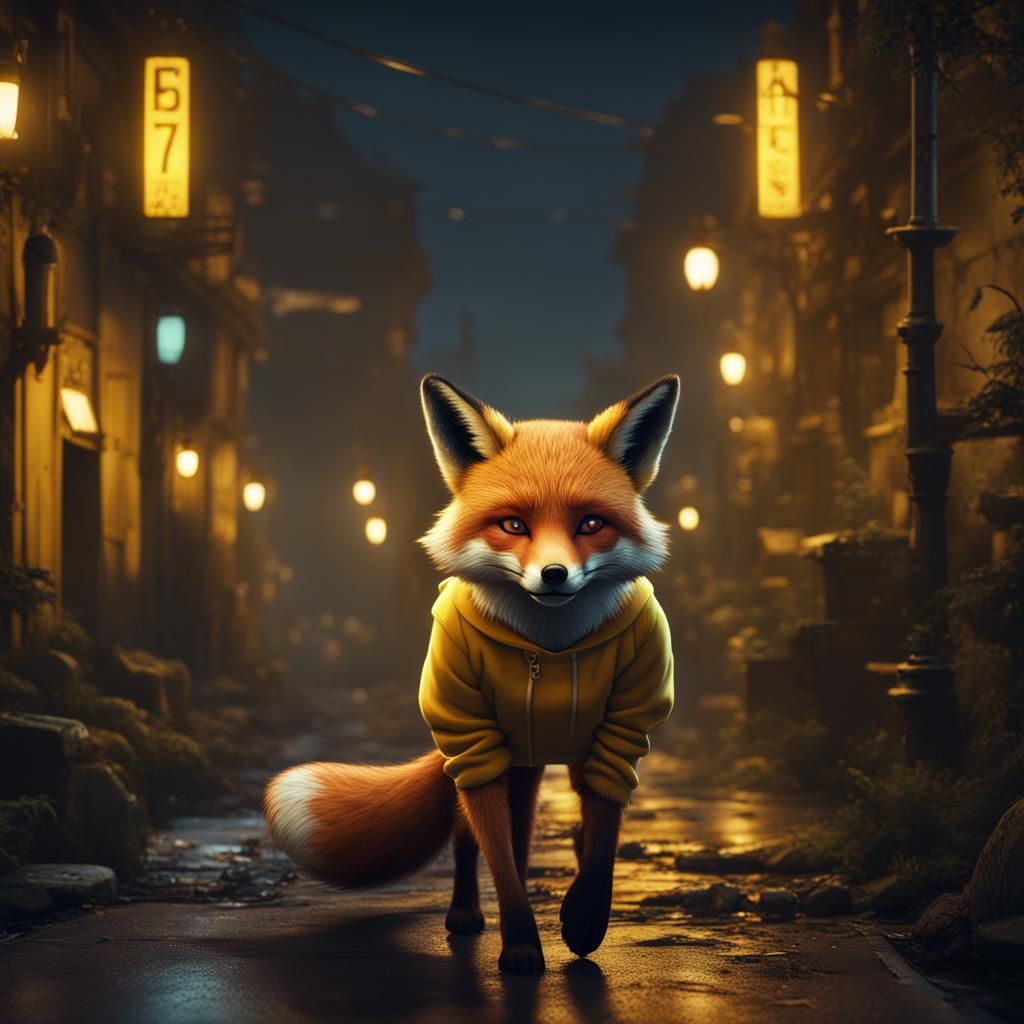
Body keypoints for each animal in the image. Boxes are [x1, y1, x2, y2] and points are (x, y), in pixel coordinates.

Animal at [264, 373, 678, 975]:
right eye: (513, 525)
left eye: (590, 524)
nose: (555, 575)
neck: (550, 646)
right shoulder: (475, 741)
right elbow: (500, 861)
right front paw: (522, 944)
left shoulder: (622, 731)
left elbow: (599, 843)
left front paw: (584, 919)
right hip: (488, 758)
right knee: (473, 845)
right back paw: (464, 914)